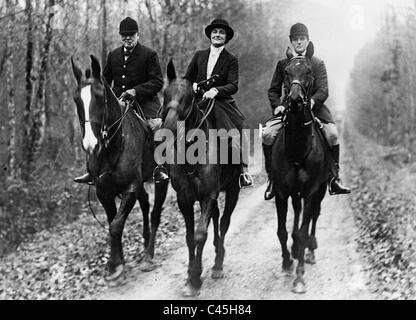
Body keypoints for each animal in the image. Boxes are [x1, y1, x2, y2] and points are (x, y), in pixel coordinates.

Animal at [70, 55, 168, 284]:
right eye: (76, 100)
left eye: (99, 97)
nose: (90, 145)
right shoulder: (104, 192)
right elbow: (113, 223)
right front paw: (117, 263)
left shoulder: (129, 188)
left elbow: (115, 225)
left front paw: (115, 266)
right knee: (145, 204)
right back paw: (145, 242)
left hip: (162, 179)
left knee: (155, 212)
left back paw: (148, 256)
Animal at [161, 60, 242, 298]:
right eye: (165, 94)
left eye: (189, 96)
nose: (168, 128)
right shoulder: (185, 199)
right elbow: (190, 237)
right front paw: (190, 275)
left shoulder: (208, 195)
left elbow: (199, 235)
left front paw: (196, 279)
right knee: (216, 218)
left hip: (233, 190)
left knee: (224, 222)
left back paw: (218, 264)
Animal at [272, 46, 334, 294]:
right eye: (286, 72)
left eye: (309, 71)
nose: (296, 100)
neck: (298, 147)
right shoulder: (281, 192)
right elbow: (282, 230)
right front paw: (286, 262)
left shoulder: (311, 192)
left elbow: (302, 230)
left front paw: (299, 277)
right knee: (297, 213)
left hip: (320, 190)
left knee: (313, 217)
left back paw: (310, 250)